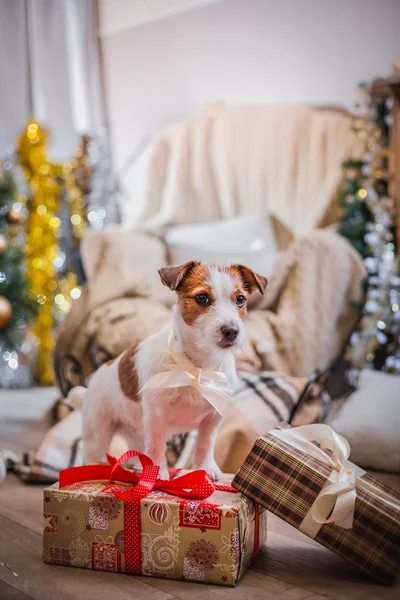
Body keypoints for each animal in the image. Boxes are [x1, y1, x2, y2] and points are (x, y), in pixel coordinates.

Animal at [80, 260, 268, 480]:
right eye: (202, 298)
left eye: (240, 300)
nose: (232, 331)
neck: (198, 367)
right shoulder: (156, 416)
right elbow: (156, 446)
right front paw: (156, 472)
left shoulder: (213, 417)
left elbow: (205, 443)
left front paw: (205, 467)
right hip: (97, 431)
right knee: (96, 450)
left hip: (136, 431)